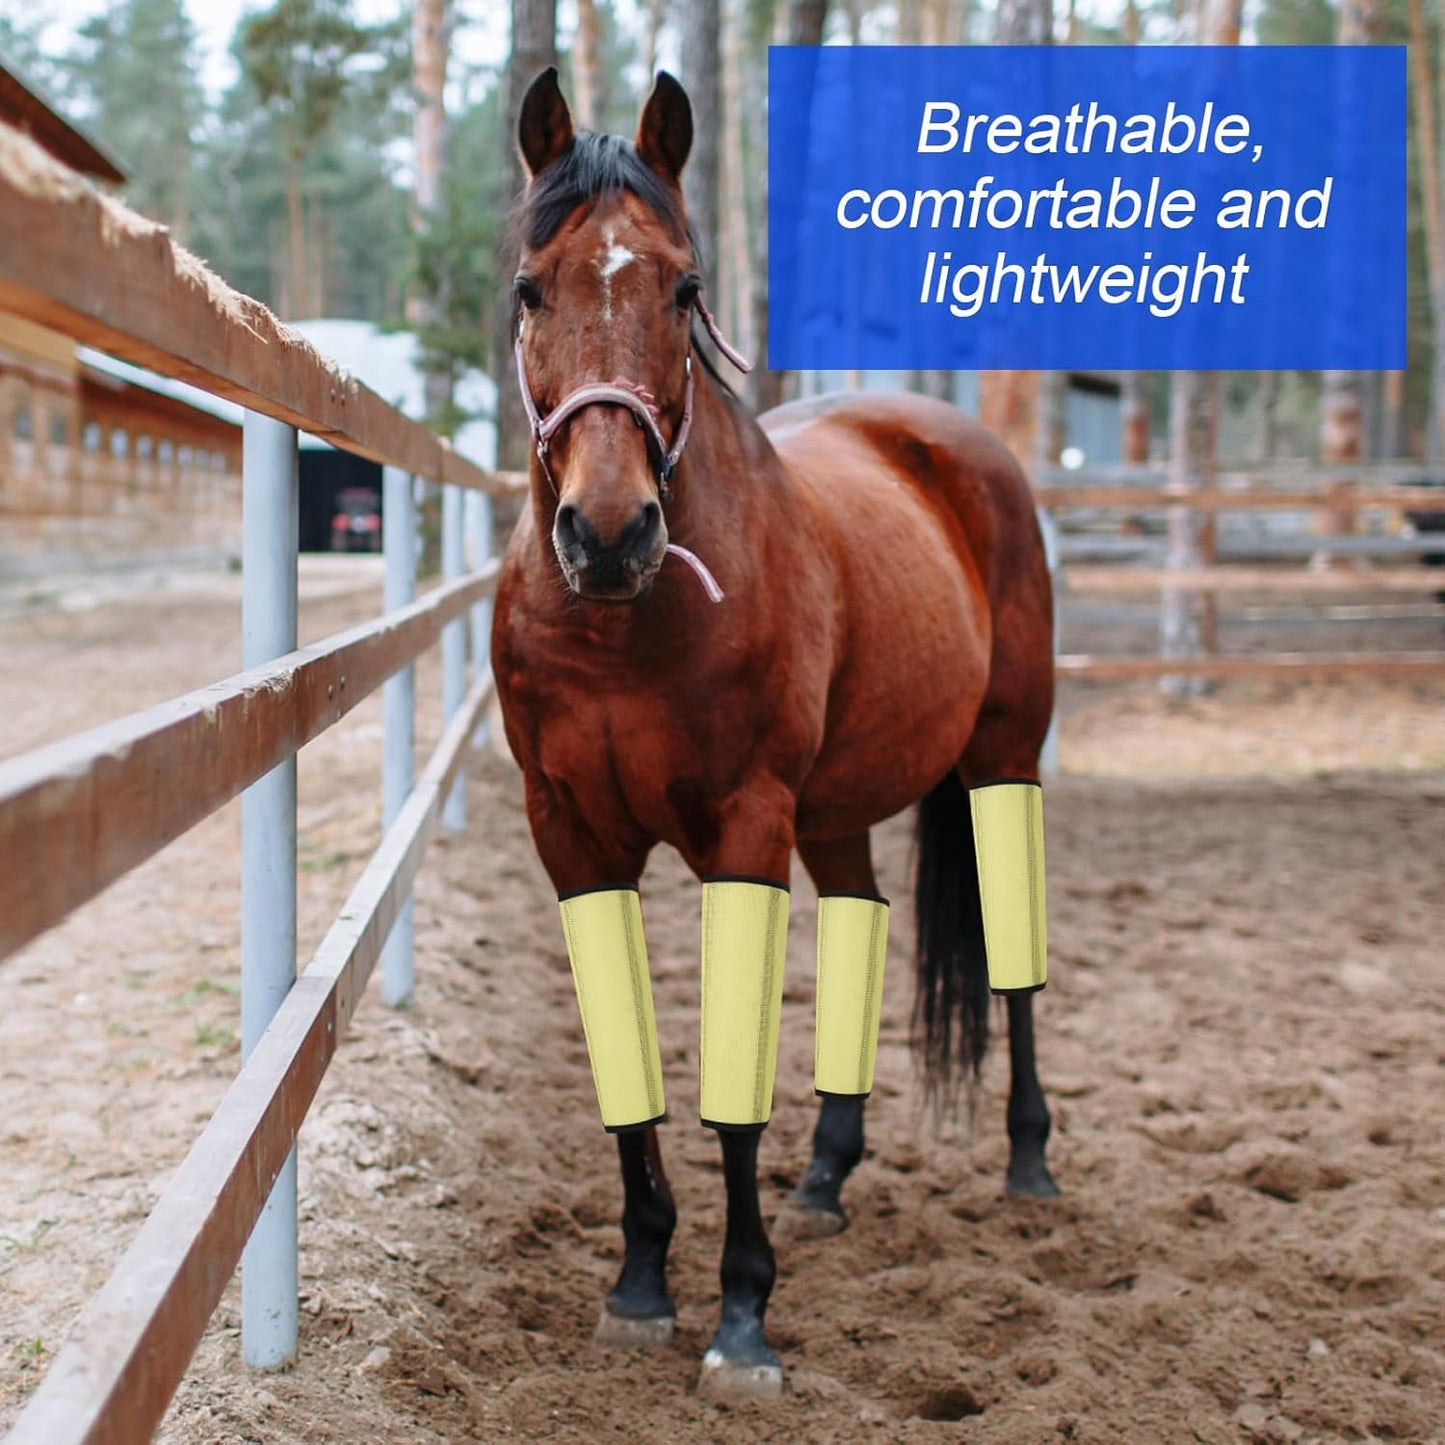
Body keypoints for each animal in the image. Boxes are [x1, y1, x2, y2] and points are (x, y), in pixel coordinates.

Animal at [491, 68, 1058, 1398]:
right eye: (530, 287)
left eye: (682, 287)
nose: (607, 532)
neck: (621, 623)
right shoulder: (571, 838)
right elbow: (630, 1086)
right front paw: (639, 1283)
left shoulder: (744, 827)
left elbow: (728, 1098)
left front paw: (741, 1314)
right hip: (838, 811)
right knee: (864, 914)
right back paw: (827, 1175)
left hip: (1004, 759)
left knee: (1013, 963)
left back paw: (1027, 1158)